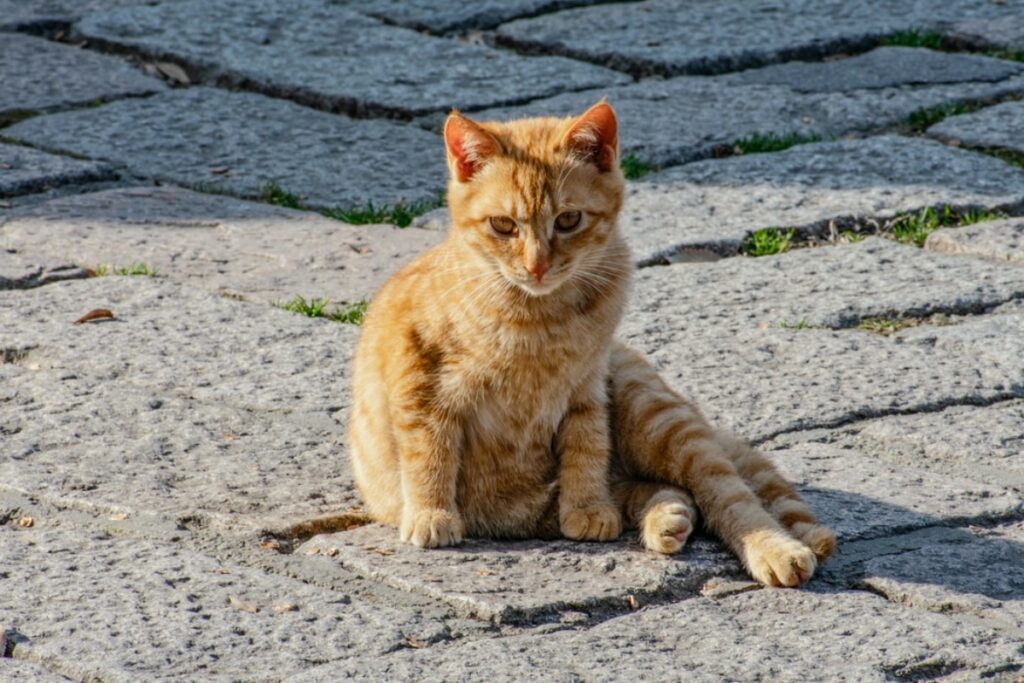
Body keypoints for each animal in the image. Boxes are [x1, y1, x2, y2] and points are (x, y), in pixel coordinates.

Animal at [348, 100, 835, 589]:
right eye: (503, 225)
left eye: (568, 220)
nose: (537, 266)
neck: (539, 319)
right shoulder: (421, 381)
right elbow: (429, 452)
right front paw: (432, 513)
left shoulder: (587, 388)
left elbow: (586, 446)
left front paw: (585, 507)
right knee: (666, 490)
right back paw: (668, 520)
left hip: (657, 422)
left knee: (727, 493)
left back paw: (773, 548)